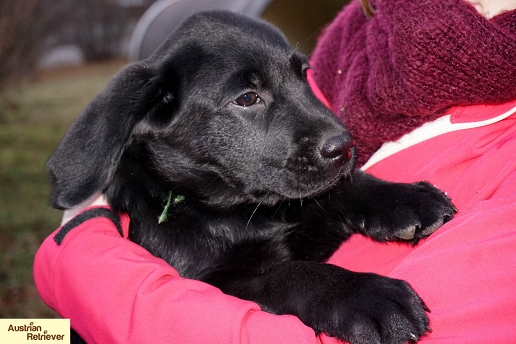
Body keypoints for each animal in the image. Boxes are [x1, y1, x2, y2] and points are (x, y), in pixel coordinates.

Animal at [49, 10, 456, 344]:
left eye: (304, 76)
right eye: (247, 98)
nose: (344, 146)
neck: (240, 210)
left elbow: (343, 187)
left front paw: (405, 199)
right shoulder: (217, 283)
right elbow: (290, 273)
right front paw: (367, 297)